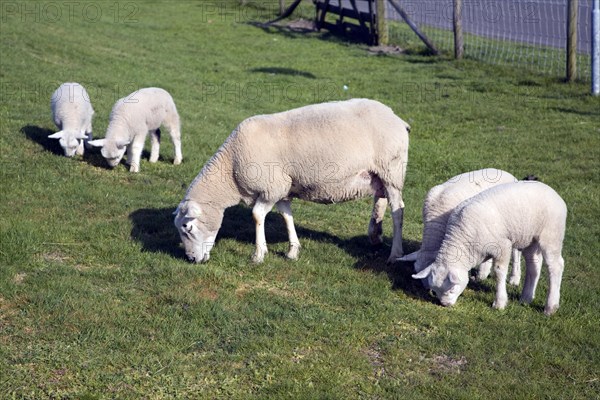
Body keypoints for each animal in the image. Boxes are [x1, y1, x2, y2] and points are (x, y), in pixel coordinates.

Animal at [171, 98, 410, 264]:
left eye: (187, 227)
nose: (192, 259)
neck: (231, 167)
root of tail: (398, 119)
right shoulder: (282, 190)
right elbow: (287, 217)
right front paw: (293, 250)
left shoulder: (271, 188)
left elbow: (257, 216)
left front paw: (259, 254)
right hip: (378, 174)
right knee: (380, 200)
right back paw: (375, 235)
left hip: (393, 171)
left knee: (397, 210)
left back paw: (395, 254)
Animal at [412, 181, 568, 316]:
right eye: (435, 291)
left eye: (451, 289)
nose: (445, 305)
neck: (462, 237)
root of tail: (553, 191)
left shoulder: (503, 245)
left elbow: (498, 272)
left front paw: (499, 303)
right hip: (530, 238)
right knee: (533, 265)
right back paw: (526, 298)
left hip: (551, 234)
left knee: (556, 266)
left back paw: (550, 307)